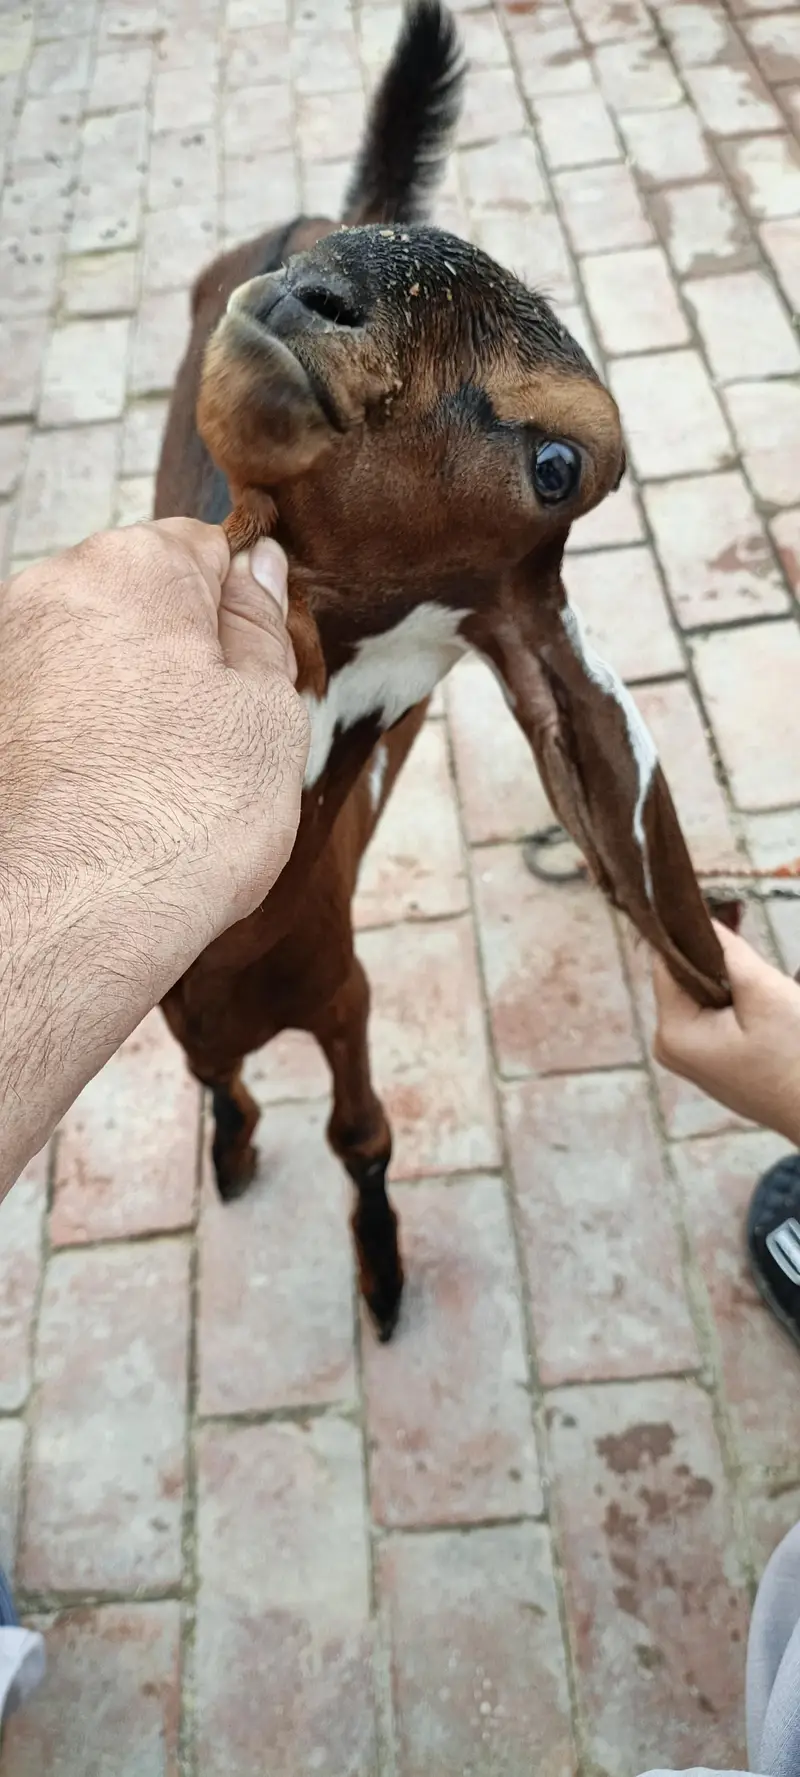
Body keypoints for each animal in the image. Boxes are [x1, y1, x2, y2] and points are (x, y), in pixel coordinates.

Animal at [156, 0, 730, 1342]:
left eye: (558, 465)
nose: (312, 291)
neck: (233, 954)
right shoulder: (177, 1007)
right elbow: (218, 1082)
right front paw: (231, 1148)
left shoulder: (347, 995)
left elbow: (361, 1136)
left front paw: (380, 1274)